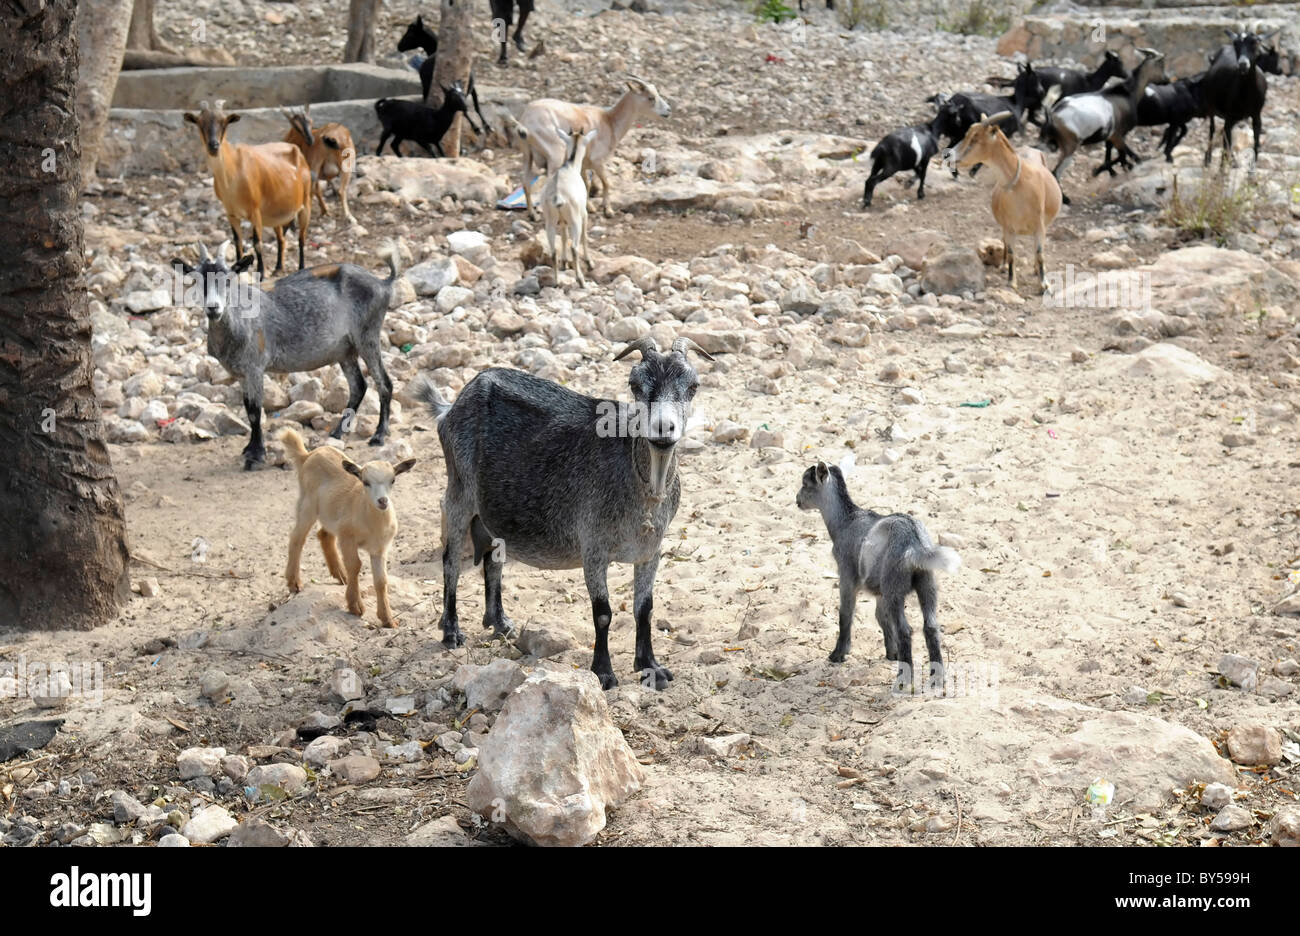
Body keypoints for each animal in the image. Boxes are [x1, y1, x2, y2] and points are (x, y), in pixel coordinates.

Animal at [517, 75, 670, 218]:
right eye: (651, 97)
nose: (668, 110)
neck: (609, 122)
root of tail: (525, 123)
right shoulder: (598, 161)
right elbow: (607, 183)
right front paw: (608, 210)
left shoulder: (583, 163)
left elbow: (586, 184)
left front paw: (590, 207)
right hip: (556, 155)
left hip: (527, 155)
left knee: (525, 182)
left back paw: (533, 214)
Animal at [540, 128, 595, 284]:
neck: (570, 167)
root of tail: (558, 195)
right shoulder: (584, 214)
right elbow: (584, 236)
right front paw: (589, 262)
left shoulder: (562, 220)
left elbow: (564, 236)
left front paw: (564, 263)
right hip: (575, 220)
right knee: (574, 247)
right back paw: (581, 279)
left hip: (550, 222)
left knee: (553, 251)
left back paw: (556, 281)